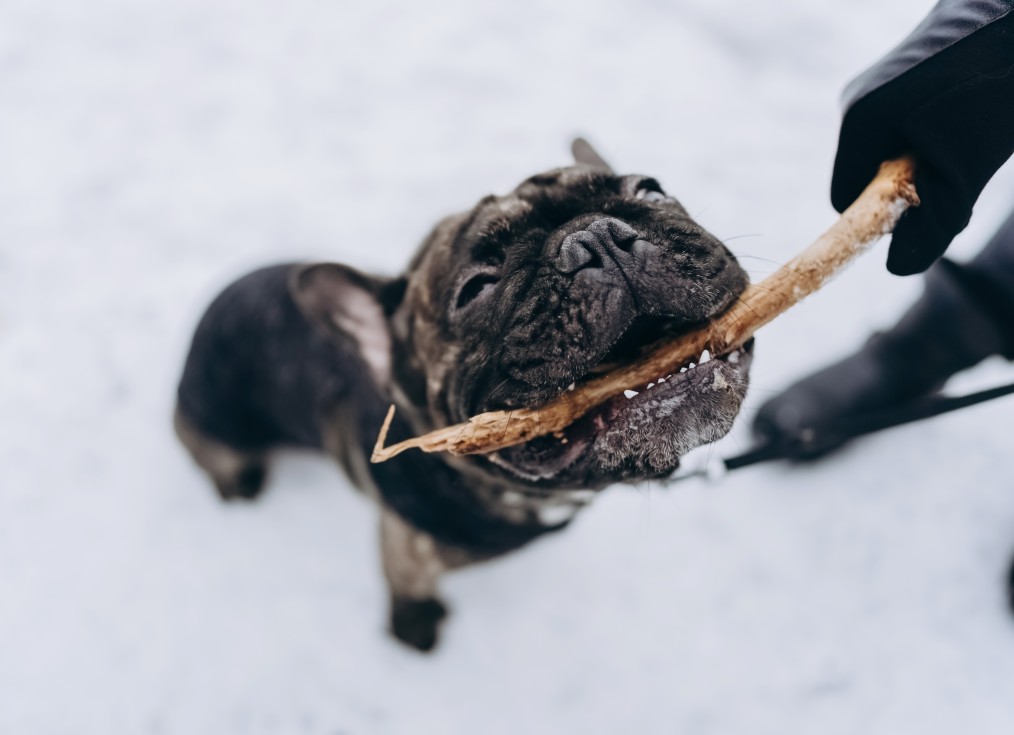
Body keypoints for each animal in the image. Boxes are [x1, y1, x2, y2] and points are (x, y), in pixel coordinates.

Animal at [174, 138, 754, 648]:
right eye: (475, 288)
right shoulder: (407, 549)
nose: (595, 236)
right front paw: (415, 629)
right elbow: (407, 589)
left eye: (652, 190)